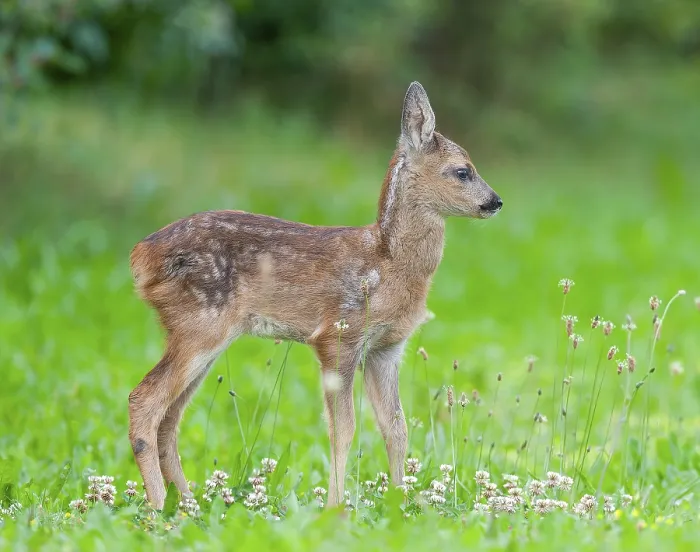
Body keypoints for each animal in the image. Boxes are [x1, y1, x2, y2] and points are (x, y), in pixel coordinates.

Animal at [128, 81, 502, 509]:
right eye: (463, 170)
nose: (495, 201)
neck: (389, 262)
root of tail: (140, 257)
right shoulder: (338, 334)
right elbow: (344, 428)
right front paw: (336, 507)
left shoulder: (387, 347)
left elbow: (396, 427)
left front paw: (401, 502)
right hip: (199, 324)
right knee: (145, 401)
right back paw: (159, 506)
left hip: (199, 334)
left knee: (169, 418)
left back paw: (189, 505)